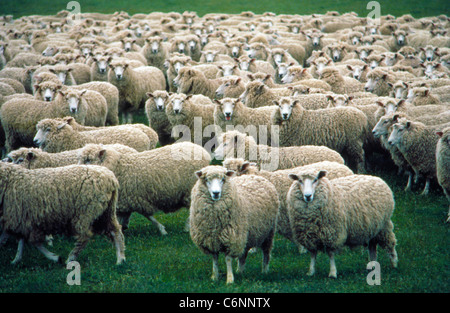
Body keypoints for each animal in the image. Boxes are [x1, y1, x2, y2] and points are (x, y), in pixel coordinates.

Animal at [77, 141, 211, 234]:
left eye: (88, 159)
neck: (118, 166)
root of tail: (203, 152)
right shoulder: (127, 200)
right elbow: (123, 218)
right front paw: (122, 229)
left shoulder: (137, 199)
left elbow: (148, 216)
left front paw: (162, 230)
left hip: (189, 189)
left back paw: (188, 227)